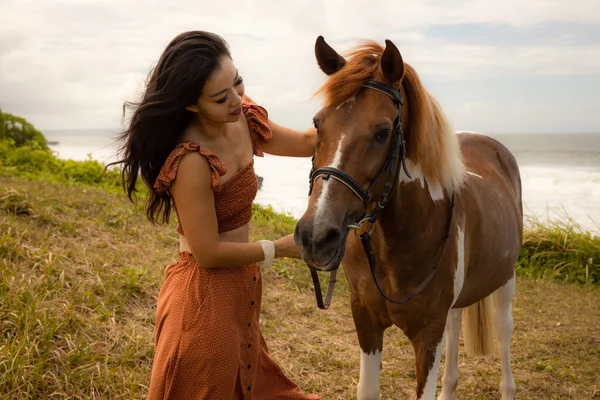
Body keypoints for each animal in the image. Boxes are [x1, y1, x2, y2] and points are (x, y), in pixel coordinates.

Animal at [292, 35, 524, 400]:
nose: (316, 236)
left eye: (383, 132)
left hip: (505, 281)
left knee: (504, 334)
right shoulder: (366, 320)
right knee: (456, 323)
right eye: (318, 123)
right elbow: (368, 390)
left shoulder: (428, 336)